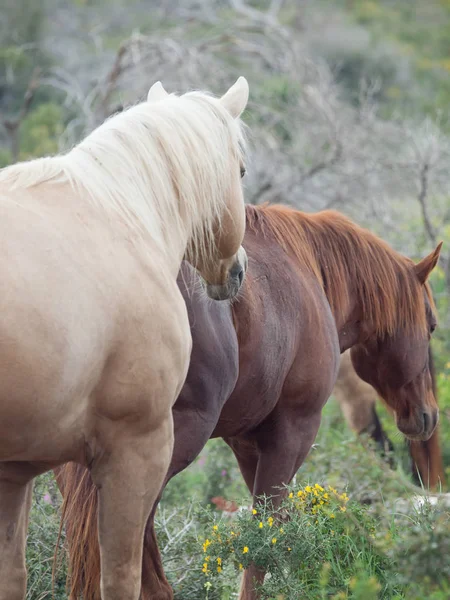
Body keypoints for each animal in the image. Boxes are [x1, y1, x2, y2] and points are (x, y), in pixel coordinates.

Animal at [0, 76, 250, 600]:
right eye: (240, 169)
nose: (239, 269)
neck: (123, 218)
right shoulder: (137, 448)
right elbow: (121, 576)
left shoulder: (12, 470)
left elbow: (11, 575)